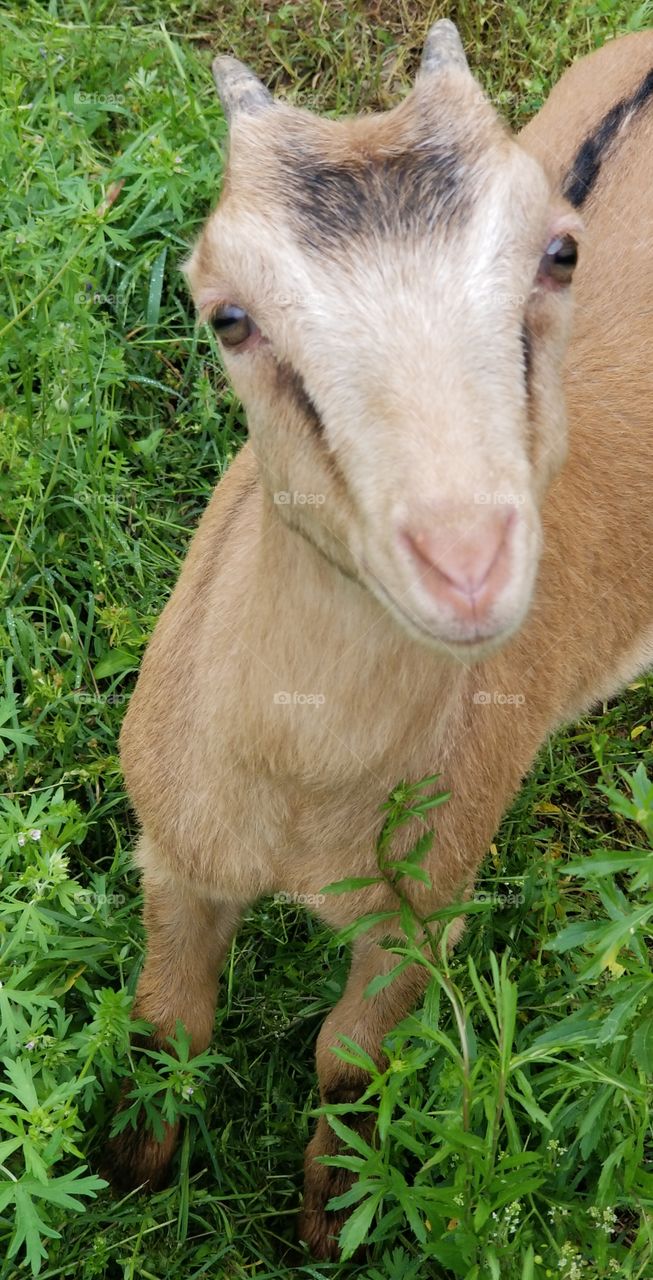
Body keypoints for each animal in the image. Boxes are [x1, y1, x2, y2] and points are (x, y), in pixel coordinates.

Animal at [104, 21, 653, 1260]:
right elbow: (170, 1022)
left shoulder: (422, 913)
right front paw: (120, 1188)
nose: (464, 559)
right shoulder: (171, 847)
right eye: (227, 313)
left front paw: (326, 1226)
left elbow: (346, 1064)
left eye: (557, 251)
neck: (301, 800)